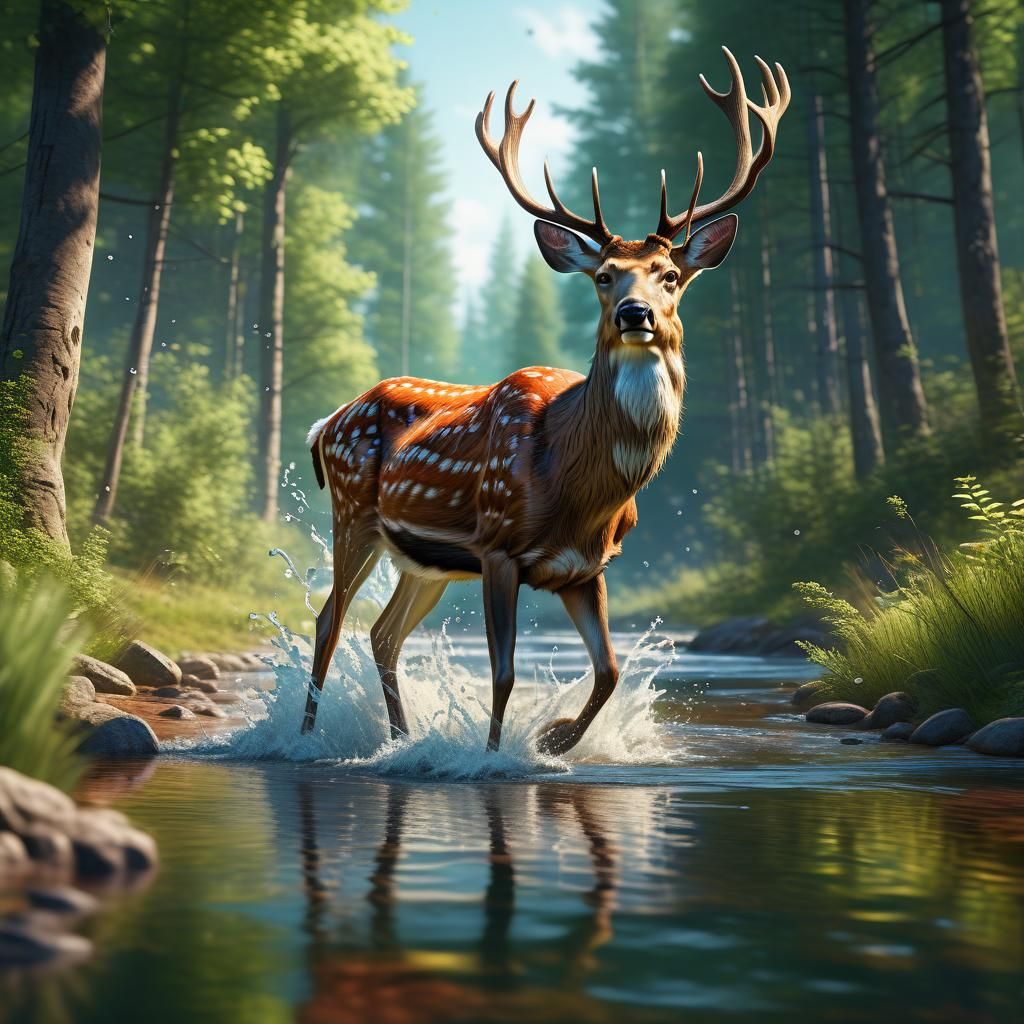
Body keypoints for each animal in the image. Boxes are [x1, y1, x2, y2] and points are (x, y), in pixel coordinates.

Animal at [301, 47, 790, 755]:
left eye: (671, 275)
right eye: (605, 276)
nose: (636, 313)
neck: (580, 487)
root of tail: (324, 425)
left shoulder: (588, 567)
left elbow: (609, 671)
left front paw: (555, 739)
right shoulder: (498, 547)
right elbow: (504, 674)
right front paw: (494, 758)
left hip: (423, 561)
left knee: (382, 633)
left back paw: (399, 742)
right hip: (353, 512)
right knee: (329, 621)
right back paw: (304, 740)